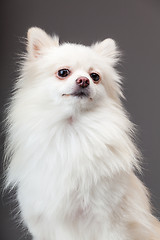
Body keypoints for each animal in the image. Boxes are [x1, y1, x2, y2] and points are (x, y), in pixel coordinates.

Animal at [4, 27, 160, 239]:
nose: (84, 81)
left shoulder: (109, 221)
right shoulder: (43, 224)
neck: (71, 132)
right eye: (63, 72)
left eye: (95, 76)